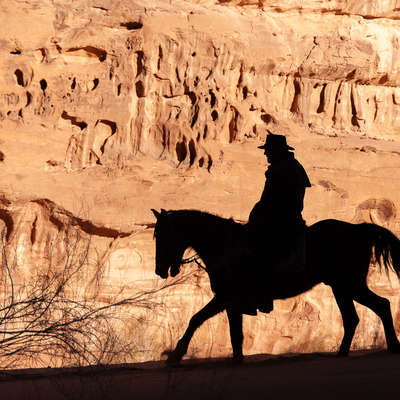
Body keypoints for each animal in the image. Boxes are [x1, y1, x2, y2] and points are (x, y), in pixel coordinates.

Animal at [151, 208, 400, 364]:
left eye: (162, 236)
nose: (160, 270)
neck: (225, 246)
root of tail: (359, 229)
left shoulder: (225, 297)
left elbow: (196, 319)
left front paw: (175, 356)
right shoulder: (231, 302)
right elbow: (234, 333)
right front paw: (237, 360)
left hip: (350, 285)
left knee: (380, 306)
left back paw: (392, 346)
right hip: (342, 287)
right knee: (356, 317)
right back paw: (344, 352)